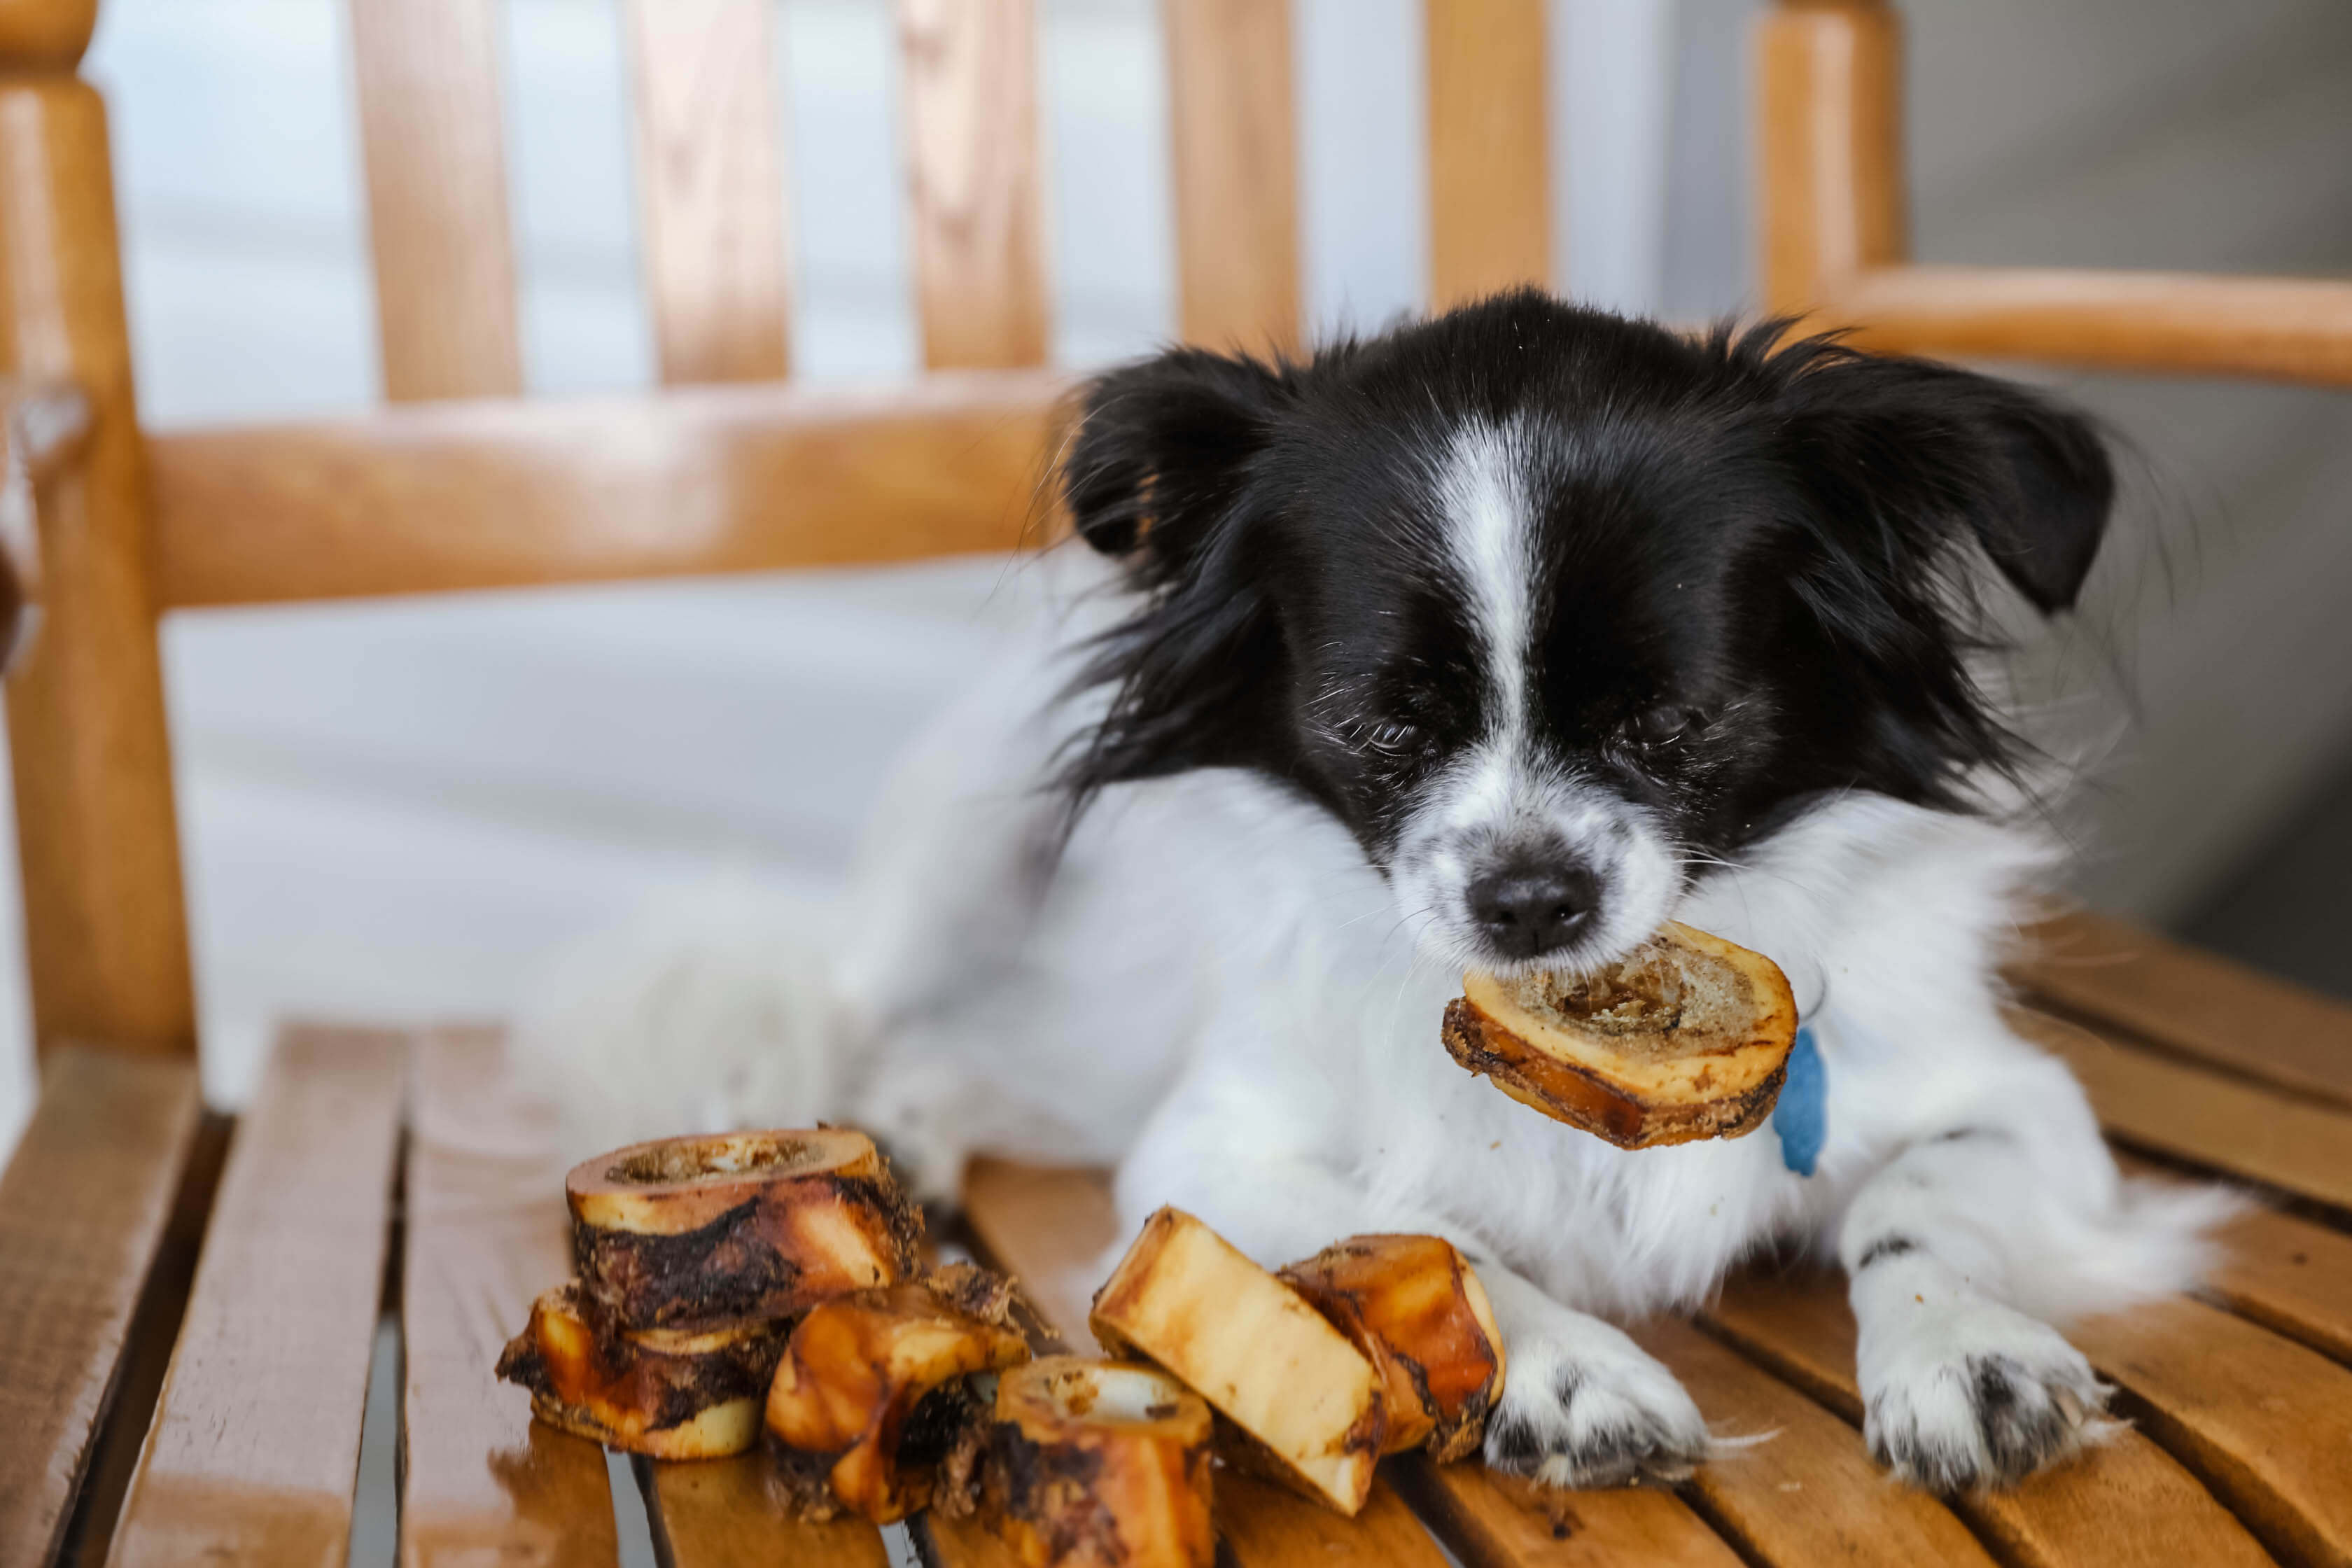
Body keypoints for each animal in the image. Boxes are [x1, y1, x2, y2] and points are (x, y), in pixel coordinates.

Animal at [524, 291, 2230, 1494]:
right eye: (1379, 728)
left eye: (1677, 726)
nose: (1528, 896)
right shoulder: (1203, 1159)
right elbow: (1432, 1235)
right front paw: (1570, 1371)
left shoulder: (2022, 1109)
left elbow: (1909, 1206)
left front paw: (1967, 1352)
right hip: (961, 843)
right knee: (849, 1010)